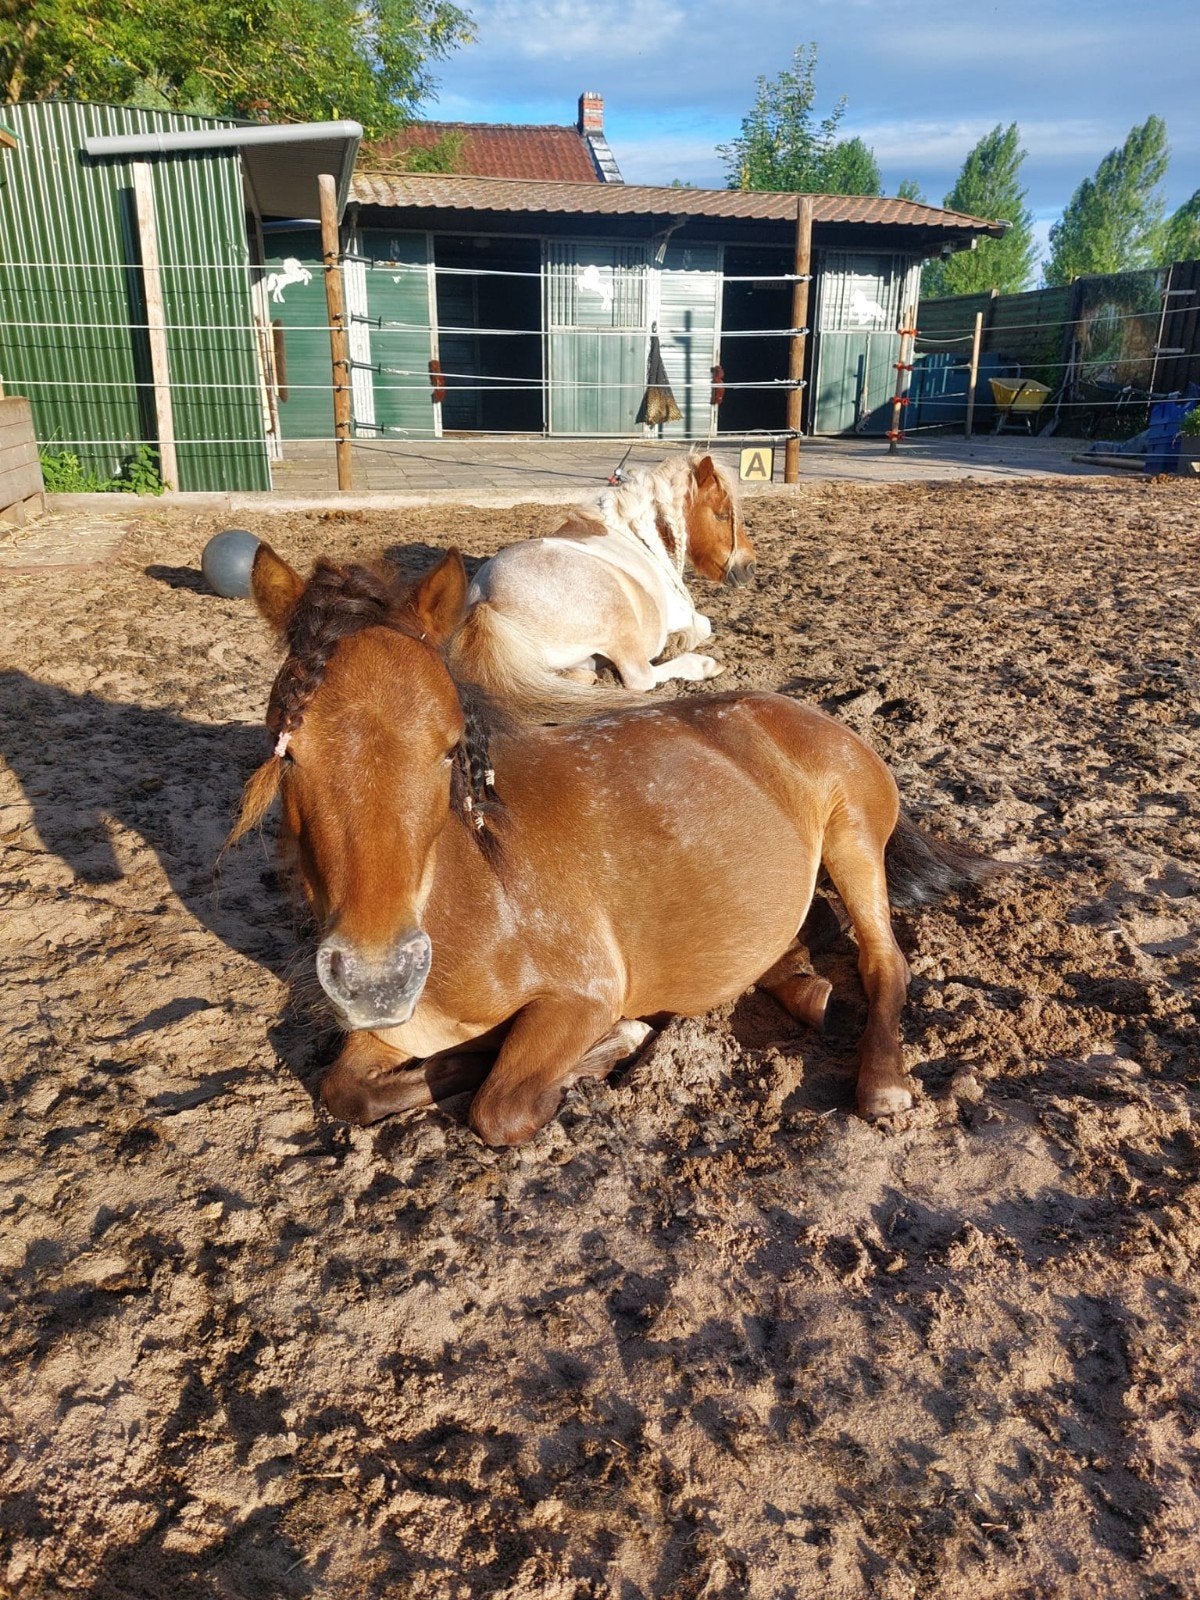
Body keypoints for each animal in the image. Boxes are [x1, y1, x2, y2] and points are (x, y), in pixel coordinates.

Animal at [231, 545, 987, 1148]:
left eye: (448, 749)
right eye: (286, 752)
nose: (378, 979)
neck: (475, 896)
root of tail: (809, 713)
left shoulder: (583, 995)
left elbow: (499, 1106)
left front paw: (613, 1044)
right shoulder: (388, 1031)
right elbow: (347, 1090)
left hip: (852, 839)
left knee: (884, 960)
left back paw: (882, 1083)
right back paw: (803, 986)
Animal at [447, 453, 756, 717]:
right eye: (722, 514)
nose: (749, 568)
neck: (634, 533)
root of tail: (486, 601)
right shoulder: (681, 615)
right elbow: (703, 626)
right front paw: (681, 643)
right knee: (641, 678)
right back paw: (703, 665)